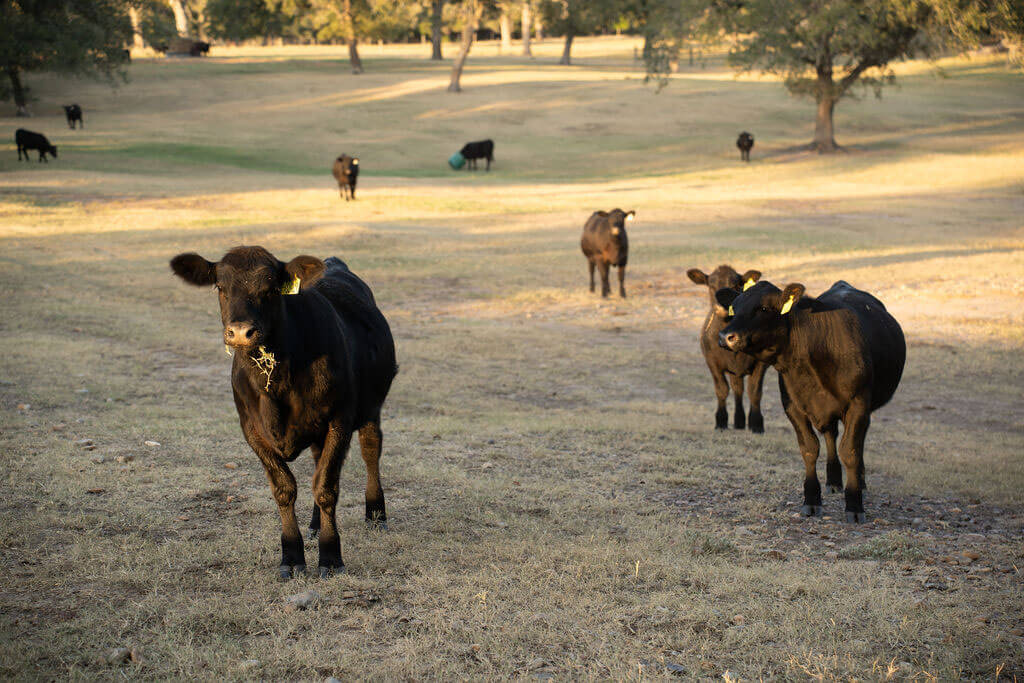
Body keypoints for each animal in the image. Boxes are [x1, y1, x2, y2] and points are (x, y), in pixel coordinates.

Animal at [170, 246, 398, 578]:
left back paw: (376, 514)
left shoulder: (340, 420)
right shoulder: (252, 430)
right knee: (317, 462)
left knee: (370, 451)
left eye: (270, 289)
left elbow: (326, 487)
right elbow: (284, 488)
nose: (241, 332)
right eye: (220, 287)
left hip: (371, 406)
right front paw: (291, 555)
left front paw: (331, 556)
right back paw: (315, 524)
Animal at [687, 265, 768, 432]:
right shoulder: (712, 361)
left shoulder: (761, 363)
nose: (722, 307)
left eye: (736, 285)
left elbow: (754, 391)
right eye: (711, 285)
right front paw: (721, 421)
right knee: (737, 389)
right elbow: (722, 389)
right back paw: (738, 422)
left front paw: (757, 424)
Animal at [716, 280, 905, 523]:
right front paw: (812, 499)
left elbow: (850, 451)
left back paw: (860, 482)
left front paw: (854, 504)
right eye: (733, 309)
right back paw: (833, 481)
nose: (725, 336)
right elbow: (809, 449)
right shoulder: (792, 406)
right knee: (831, 435)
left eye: (764, 308)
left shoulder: (858, 405)